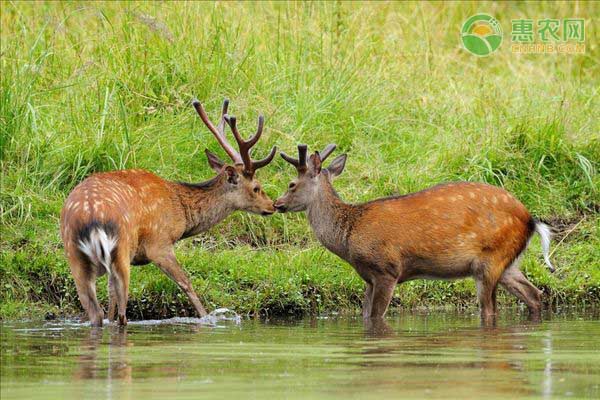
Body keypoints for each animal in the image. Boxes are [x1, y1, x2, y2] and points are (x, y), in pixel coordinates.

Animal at [57, 98, 278, 326]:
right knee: (122, 315)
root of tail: (91, 219)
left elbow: (110, 298)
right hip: (122, 248)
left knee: (97, 313)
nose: (272, 205)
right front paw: (206, 318)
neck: (180, 211)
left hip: (75, 256)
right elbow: (186, 283)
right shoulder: (159, 243)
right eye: (257, 187)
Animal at [274, 142, 556, 324]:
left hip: (490, 260)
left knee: (490, 309)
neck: (349, 236)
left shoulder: (387, 269)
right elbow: (365, 316)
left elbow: (376, 317)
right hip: (507, 261)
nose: (277, 204)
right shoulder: (368, 277)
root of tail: (531, 220)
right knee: (534, 294)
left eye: (291, 184)